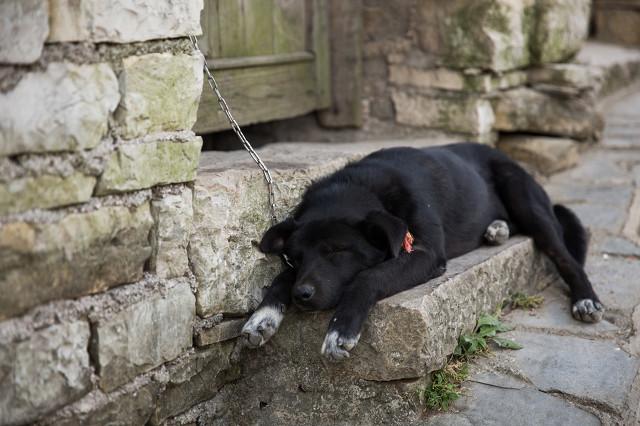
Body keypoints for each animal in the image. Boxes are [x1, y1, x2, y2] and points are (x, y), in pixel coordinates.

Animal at [241, 142, 604, 360]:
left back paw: (586, 299)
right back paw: (496, 229)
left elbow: (368, 277)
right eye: (296, 257)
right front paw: (262, 317)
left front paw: (340, 330)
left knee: (567, 258)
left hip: (525, 199)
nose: (302, 296)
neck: (362, 186)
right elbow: (281, 279)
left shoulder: (425, 254)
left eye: (339, 251)